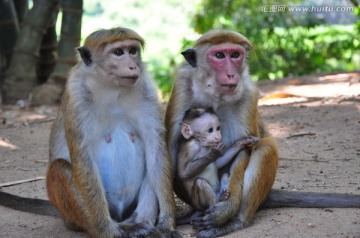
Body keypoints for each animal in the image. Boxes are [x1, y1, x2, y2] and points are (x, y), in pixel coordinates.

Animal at [0, 27, 180, 238]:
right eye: (119, 52)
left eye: (132, 50)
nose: (132, 66)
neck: (111, 89)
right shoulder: (76, 95)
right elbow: (83, 159)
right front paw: (106, 230)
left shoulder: (148, 90)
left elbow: (156, 151)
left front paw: (167, 223)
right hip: (73, 216)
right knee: (59, 167)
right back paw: (105, 228)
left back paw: (140, 223)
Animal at [164, 29, 360, 238]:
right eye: (219, 55)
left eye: (235, 55)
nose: (231, 74)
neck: (215, 95)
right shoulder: (183, 85)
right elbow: (172, 150)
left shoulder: (248, 93)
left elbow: (246, 148)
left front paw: (226, 210)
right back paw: (194, 213)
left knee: (265, 147)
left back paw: (235, 222)